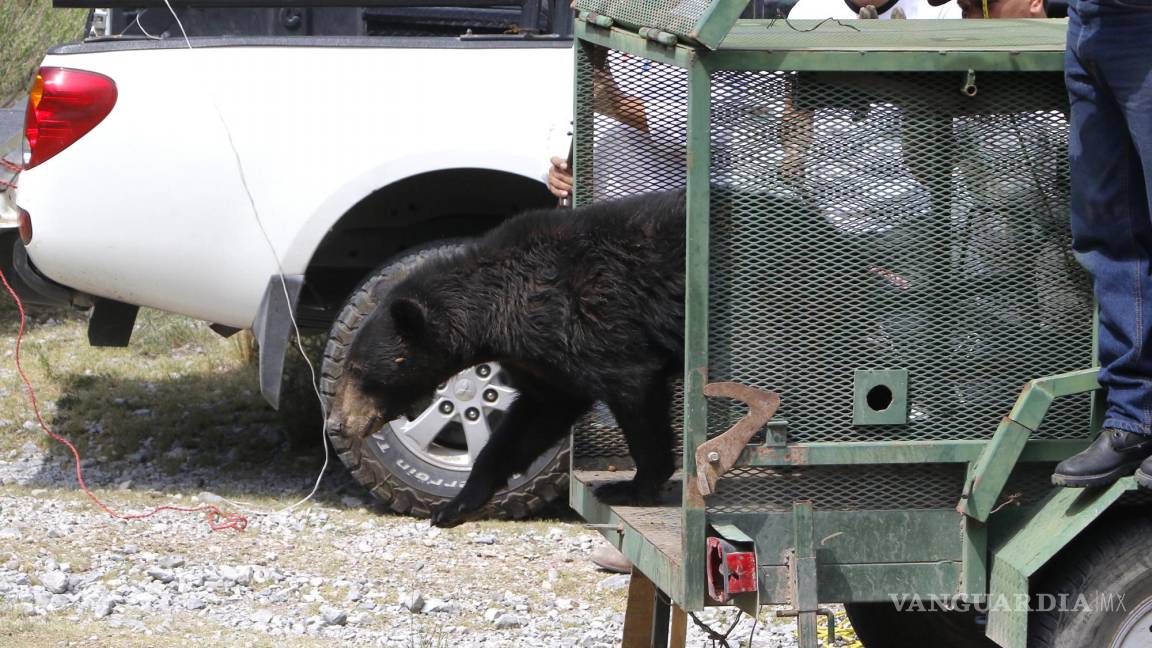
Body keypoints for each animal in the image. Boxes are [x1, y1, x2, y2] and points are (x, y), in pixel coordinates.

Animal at [334, 185, 686, 525]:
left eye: (357, 369)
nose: (340, 424)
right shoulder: (546, 360)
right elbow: (533, 419)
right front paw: (454, 506)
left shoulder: (599, 322)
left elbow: (635, 391)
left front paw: (634, 486)